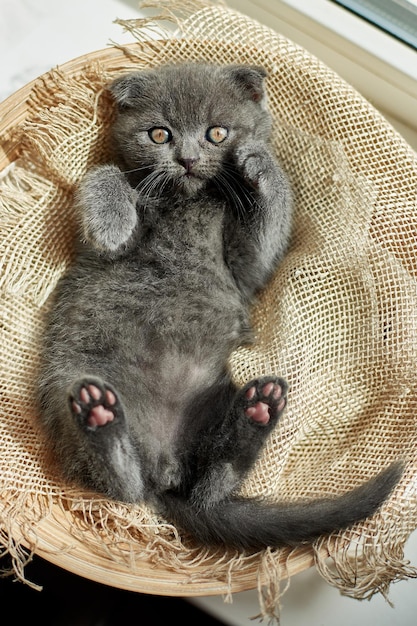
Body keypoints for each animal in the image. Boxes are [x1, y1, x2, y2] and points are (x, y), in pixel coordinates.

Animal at [37, 63, 402, 548]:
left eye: (217, 133)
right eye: (159, 134)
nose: (188, 159)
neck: (190, 198)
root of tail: (166, 465)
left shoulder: (248, 269)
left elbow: (265, 236)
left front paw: (261, 165)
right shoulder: (106, 245)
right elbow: (106, 175)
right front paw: (111, 219)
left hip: (217, 397)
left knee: (207, 486)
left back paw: (256, 414)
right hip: (67, 382)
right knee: (127, 486)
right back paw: (102, 419)